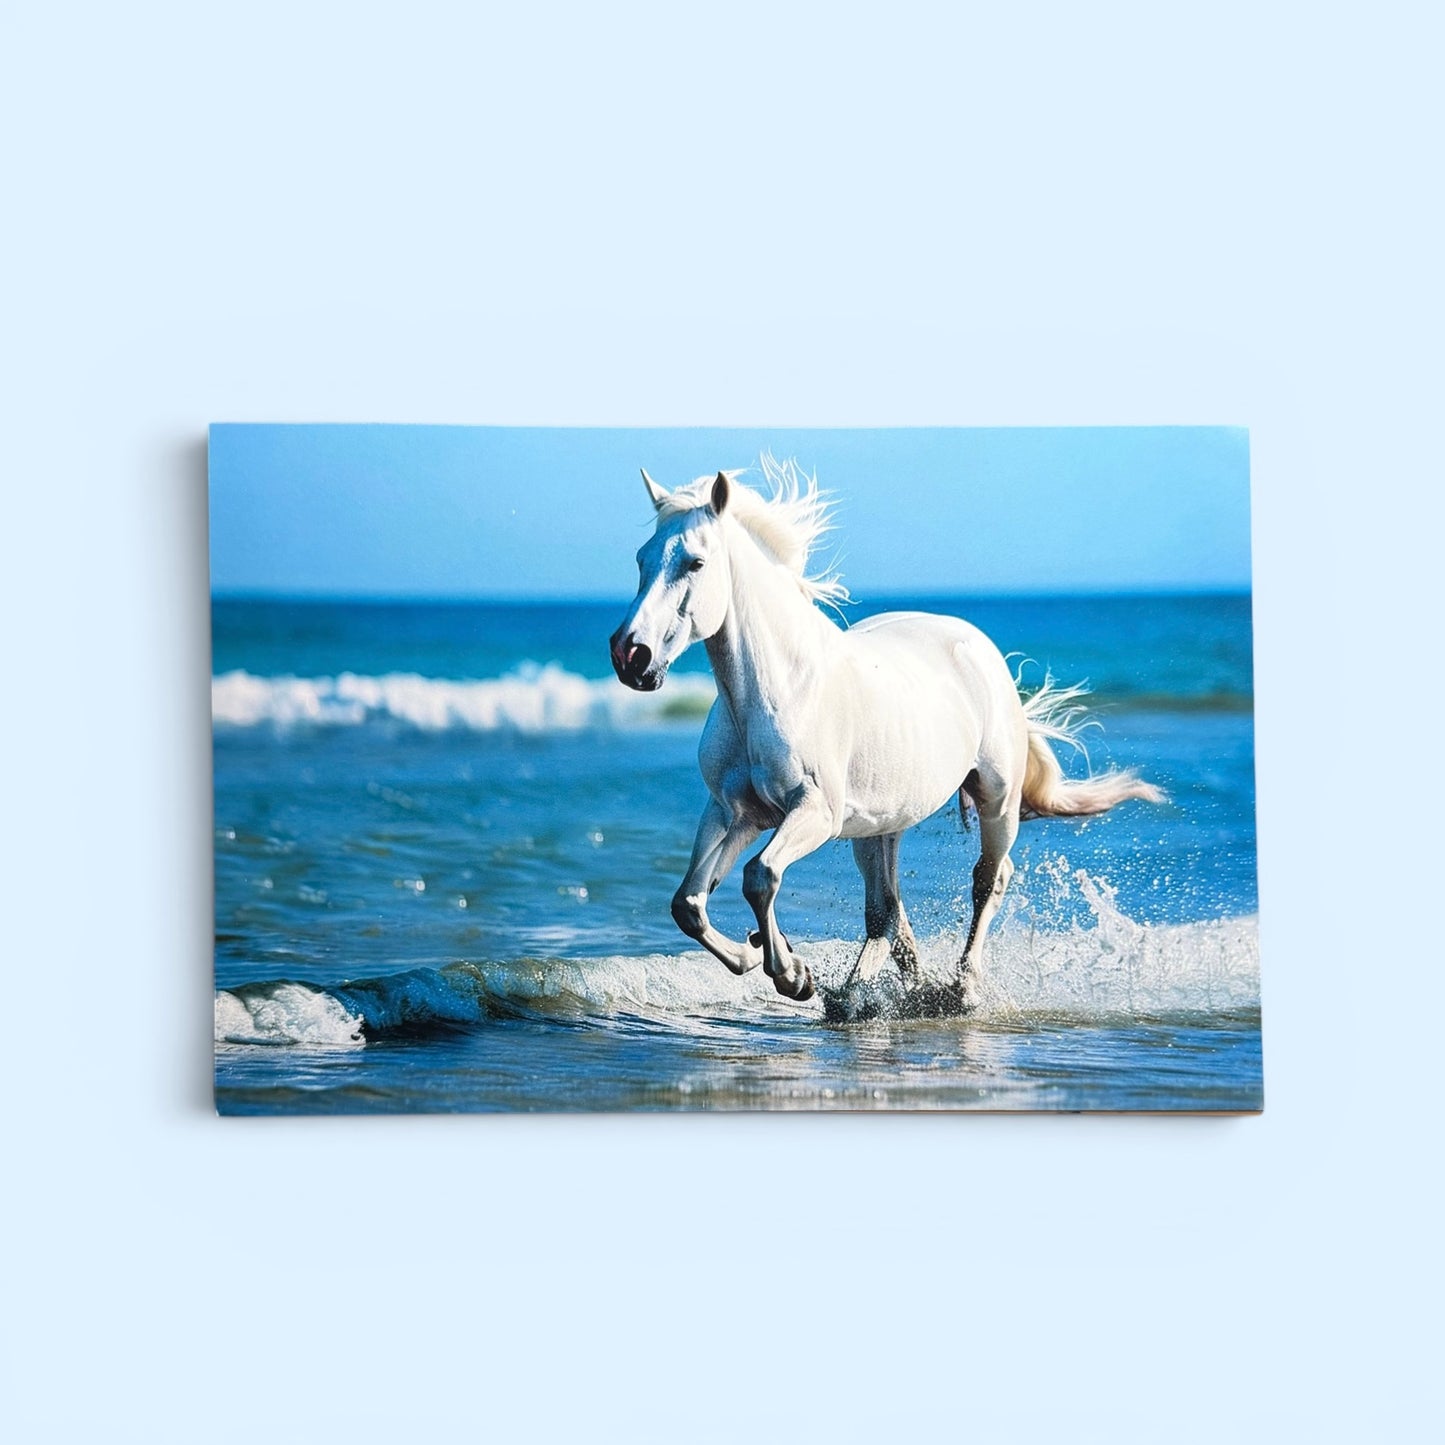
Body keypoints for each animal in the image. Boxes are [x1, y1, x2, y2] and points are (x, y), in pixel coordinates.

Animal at [608, 456, 1164, 1007]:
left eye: (695, 563)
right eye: (641, 560)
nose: (631, 656)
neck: (777, 693)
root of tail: (979, 647)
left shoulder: (815, 813)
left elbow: (759, 877)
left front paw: (791, 975)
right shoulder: (735, 812)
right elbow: (689, 902)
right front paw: (760, 958)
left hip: (996, 800)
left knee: (989, 878)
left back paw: (960, 987)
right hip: (881, 824)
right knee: (886, 912)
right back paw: (872, 994)